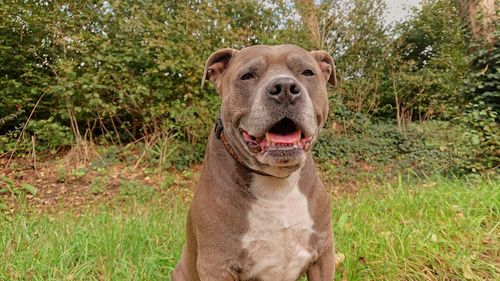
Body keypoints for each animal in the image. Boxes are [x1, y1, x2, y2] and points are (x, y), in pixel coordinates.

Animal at [172, 44, 336, 278]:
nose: (284, 87)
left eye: (307, 72)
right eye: (247, 76)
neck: (277, 185)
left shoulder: (323, 254)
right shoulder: (217, 265)